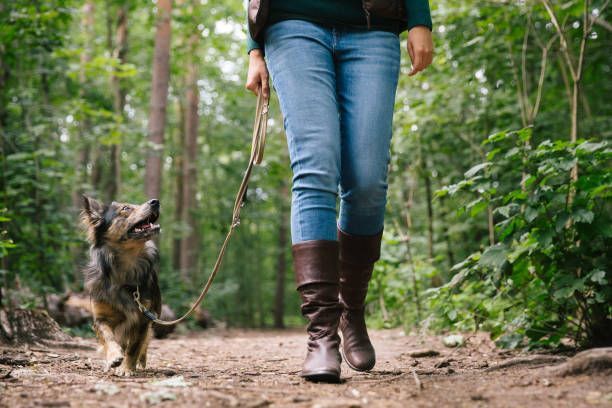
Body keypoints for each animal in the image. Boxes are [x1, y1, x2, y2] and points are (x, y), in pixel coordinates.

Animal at [81, 196, 163, 378]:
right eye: (125, 208)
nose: (155, 201)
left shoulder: (143, 318)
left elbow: (134, 346)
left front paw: (126, 368)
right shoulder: (100, 317)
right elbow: (108, 336)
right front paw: (113, 357)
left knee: (144, 342)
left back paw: (141, 361)